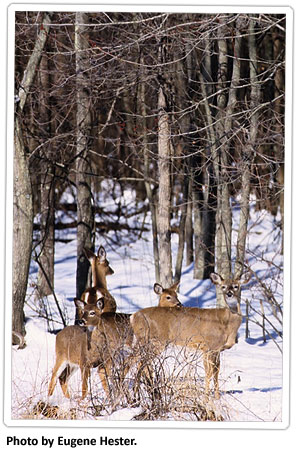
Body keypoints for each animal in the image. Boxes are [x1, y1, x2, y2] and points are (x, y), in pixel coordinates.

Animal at [130, 272, 250, 400]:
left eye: (236, 286)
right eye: (223, 286)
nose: (229, 293)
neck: (227, 324)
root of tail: (133, 316)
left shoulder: (216, 349)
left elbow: (216, 371)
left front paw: (217, 397)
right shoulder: (209, 346)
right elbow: (209, 372)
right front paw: (206, 398)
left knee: (138, 361)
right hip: (154, 341)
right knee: (138, 361)